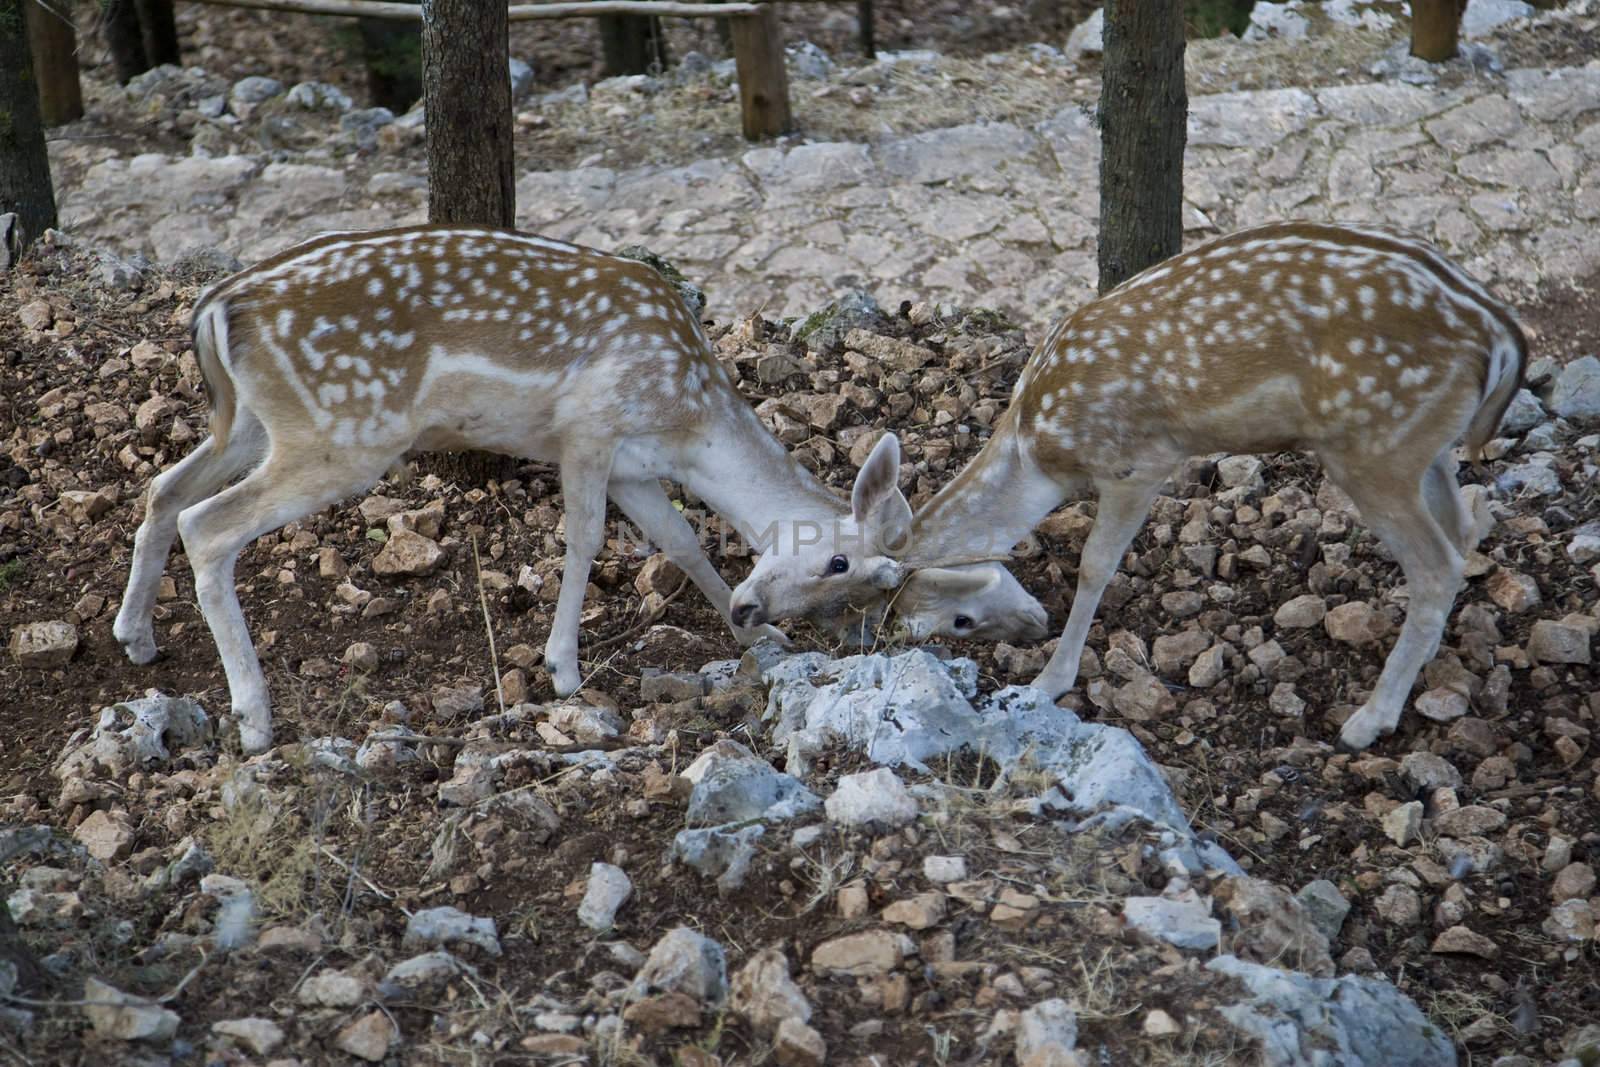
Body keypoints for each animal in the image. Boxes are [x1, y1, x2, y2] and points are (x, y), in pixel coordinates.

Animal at [116, 227, 1036, 751]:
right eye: (841, 565)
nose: (756, 612)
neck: (687, 414)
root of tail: (213, 308)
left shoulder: (634, 464)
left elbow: (682, 538)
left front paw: (755, 640)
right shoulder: (589, 429)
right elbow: (585, 539)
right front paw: (563, 670)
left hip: (250, 421)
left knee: (164, 489)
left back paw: (137, 638)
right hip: (340, 431)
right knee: (210, 523)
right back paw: (255, 717)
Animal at [732, 219, 1529, 751]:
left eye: (833, 561)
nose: (745, 607)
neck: (1036, 448)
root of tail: (1499, 335)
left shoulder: (1135, 461)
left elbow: (1094, 565)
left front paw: (1049, 682)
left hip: (1371, 444)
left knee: (1436, 561)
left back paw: (1368, 720)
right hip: (1422, 445)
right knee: (1464, 529)